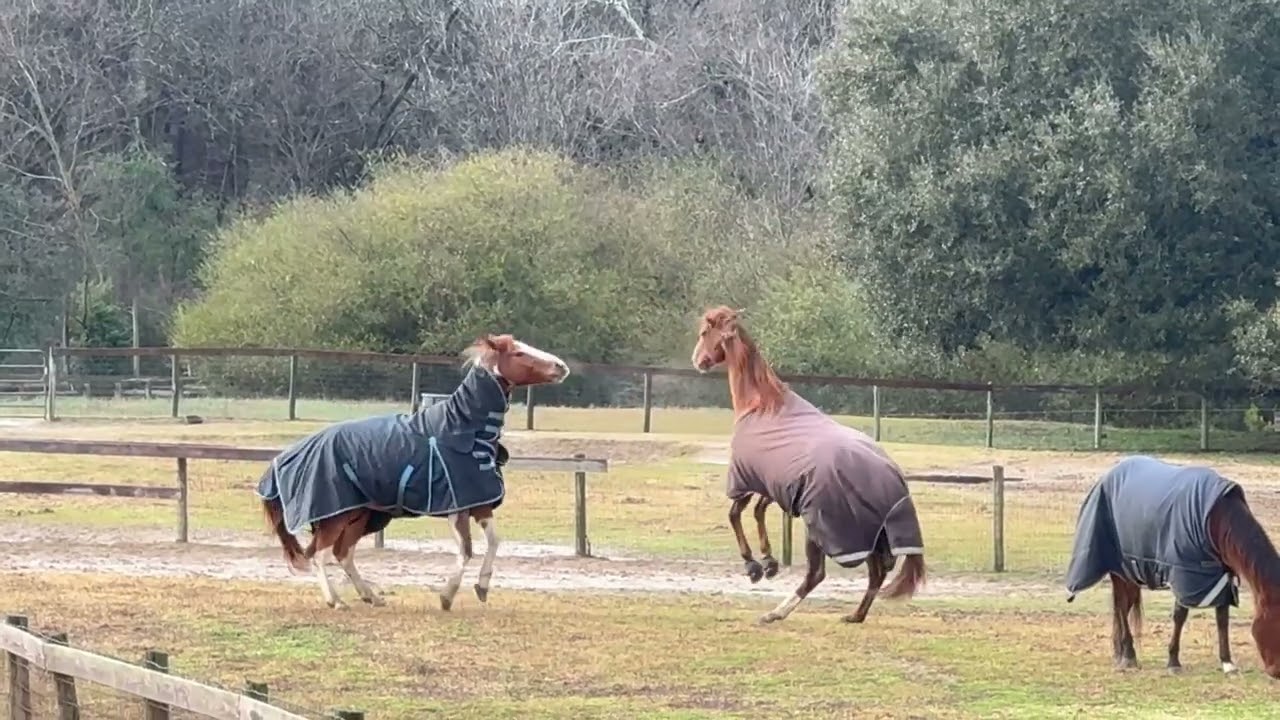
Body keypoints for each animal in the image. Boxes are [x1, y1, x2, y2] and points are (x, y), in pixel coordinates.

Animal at [258, 334, 570, 610]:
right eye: (518, 353)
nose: (561, 366)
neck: (461, 431)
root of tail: (287, 455)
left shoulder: (479, 504)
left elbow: (493, 541)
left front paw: (481, 587)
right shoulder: (457, 508)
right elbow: (466, 550)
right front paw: (447, 596)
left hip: (360, 515)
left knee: (342, 553)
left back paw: (370, 596)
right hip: (336, 516)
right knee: (320, 555)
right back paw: (336, 600)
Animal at [690, 305, 927, 625]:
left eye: (705, 332)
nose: (698, 360)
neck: (762, 404)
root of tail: (892, 478)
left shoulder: (746, 479)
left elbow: (735, 514)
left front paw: (754, 566)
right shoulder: (775, 485)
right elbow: (758, 512)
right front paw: (768, 562)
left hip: (820, 529)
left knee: (818, 573)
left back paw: (776, 613)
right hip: (873, 534)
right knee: (878, 571)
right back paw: (855, 615)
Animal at [1065, 455, 1280, 677]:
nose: (1276, 672)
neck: (1215, 518)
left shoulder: (1222, 575)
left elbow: (1222, 618)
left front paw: (1227, 663)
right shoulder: (1183, 572)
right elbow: (1180, 616)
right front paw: (1173, 662)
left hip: (1132, 572)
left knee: (1124, 606)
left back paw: (1123, 652)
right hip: (1119, 569)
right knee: (1122, 608)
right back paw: (1129, 655)